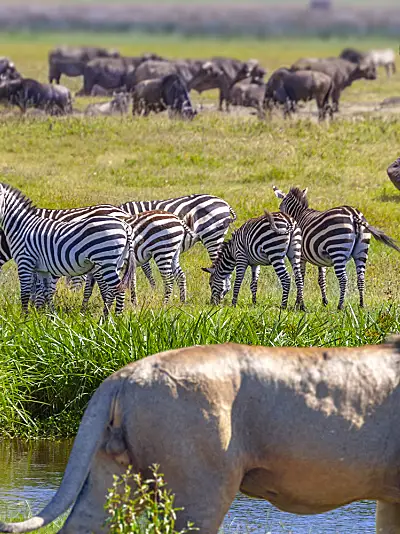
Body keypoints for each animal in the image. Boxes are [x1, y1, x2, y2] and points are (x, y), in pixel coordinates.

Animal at [0, 184, 135, 316]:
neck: (22, 226)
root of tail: (124, 224)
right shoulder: (41, 268)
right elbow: (46, 291)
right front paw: (48, 317)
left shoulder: (25, 261)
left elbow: (26, 292)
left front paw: (26, 318)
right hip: (116, 262)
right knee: (115, 288)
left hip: (105, 260)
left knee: (116, 289)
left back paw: (114, 319)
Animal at [272, 186, 400, 310]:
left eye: (279, 207)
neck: (298, 214)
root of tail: (353, 214)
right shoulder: (319, 258)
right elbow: (321, 279)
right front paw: (324, 301)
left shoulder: (301, 256)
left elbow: (301, 278)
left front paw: (298, 303)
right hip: (362, 251)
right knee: (361, 277)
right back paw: (361, 304)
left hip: (337, 248)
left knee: (343, 278)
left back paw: (340, 305)